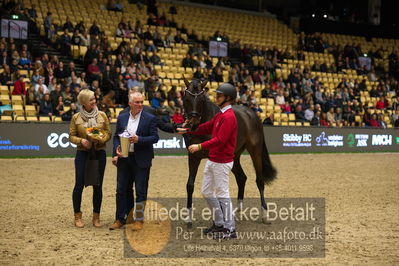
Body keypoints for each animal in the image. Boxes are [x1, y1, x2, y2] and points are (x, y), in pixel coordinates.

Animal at [183, 78, 276, 225]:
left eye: (202, 100)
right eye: (186, 98)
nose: (193, 123)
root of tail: (251, 114)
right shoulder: (193, 157)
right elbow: (190, 185)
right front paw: (188, 218)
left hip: (255, 151)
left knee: (259, 181)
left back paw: (265, 214)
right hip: (234, 156)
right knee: (242, 178)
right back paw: (237, 212)